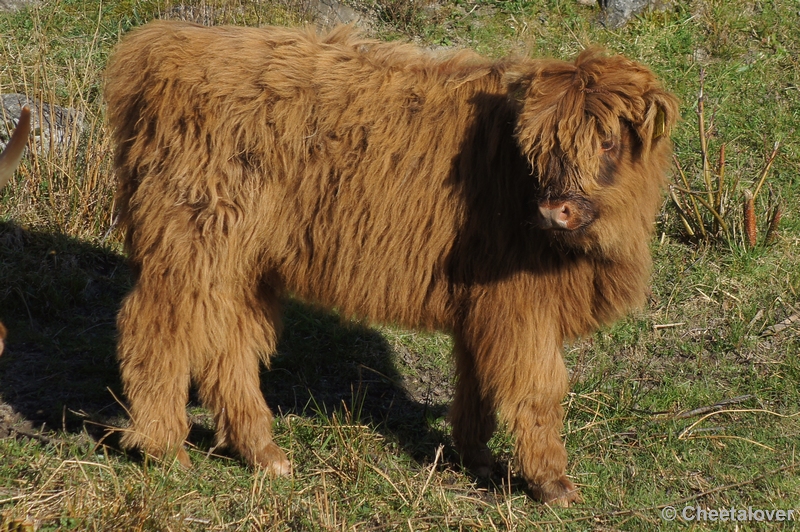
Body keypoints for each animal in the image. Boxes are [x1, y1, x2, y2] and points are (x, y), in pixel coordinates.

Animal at [106, 19, 680, 502]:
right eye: (541, 150)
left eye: (607, 142)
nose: (554, 209)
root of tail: (167, 46)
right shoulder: (520, 308)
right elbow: (539, 390)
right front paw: (552, 484)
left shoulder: (483, 305)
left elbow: (476, 384)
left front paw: (477, 458)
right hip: (189, 245)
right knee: (158, 328)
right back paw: (165, 450)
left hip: (244, 264)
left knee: (231, 345)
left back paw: (265, 454)